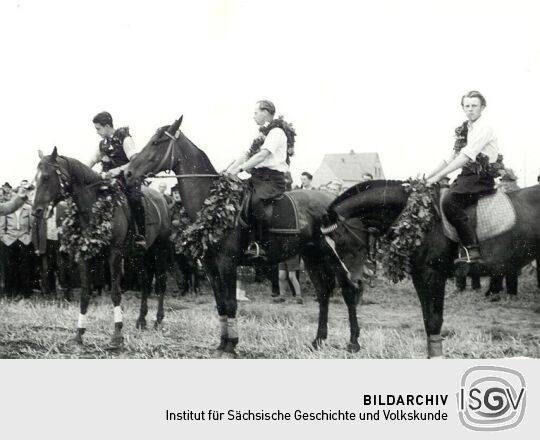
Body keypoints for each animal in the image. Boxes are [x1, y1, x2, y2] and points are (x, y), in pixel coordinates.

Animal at [32, 148, 171, 348]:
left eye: (46, 177)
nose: (36, 211)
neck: (94, 205)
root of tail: (162, 199)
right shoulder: (84, 256)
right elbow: (84, 294)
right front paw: (79, 333)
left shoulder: (114, 255)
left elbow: (115, 293)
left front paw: (117, 334)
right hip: (140, 254)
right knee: (145, 282)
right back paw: (141, 320)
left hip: (161, 249)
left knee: (161, 282)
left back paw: (158, 319)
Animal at [125, 115, 362, 356]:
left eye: (157, 142)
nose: (127, 173)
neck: (211, 200)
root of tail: (335, 201)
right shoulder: (211, 266)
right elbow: (221, 304)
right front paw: (222, 343)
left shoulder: (227, 263)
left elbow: (231, 303)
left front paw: (232, 345)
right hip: (313, 256)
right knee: (323, 292)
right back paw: (318, 340)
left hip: (333, 257)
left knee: (348, 290)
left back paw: (353, 342)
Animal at [318, 179, 540, 358]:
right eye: (328, 244)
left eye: (339, 240)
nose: (353, 280)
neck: (416, 217)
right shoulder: (420, 277)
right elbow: (427, 320)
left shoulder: (433, 276)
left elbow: (434, 320)